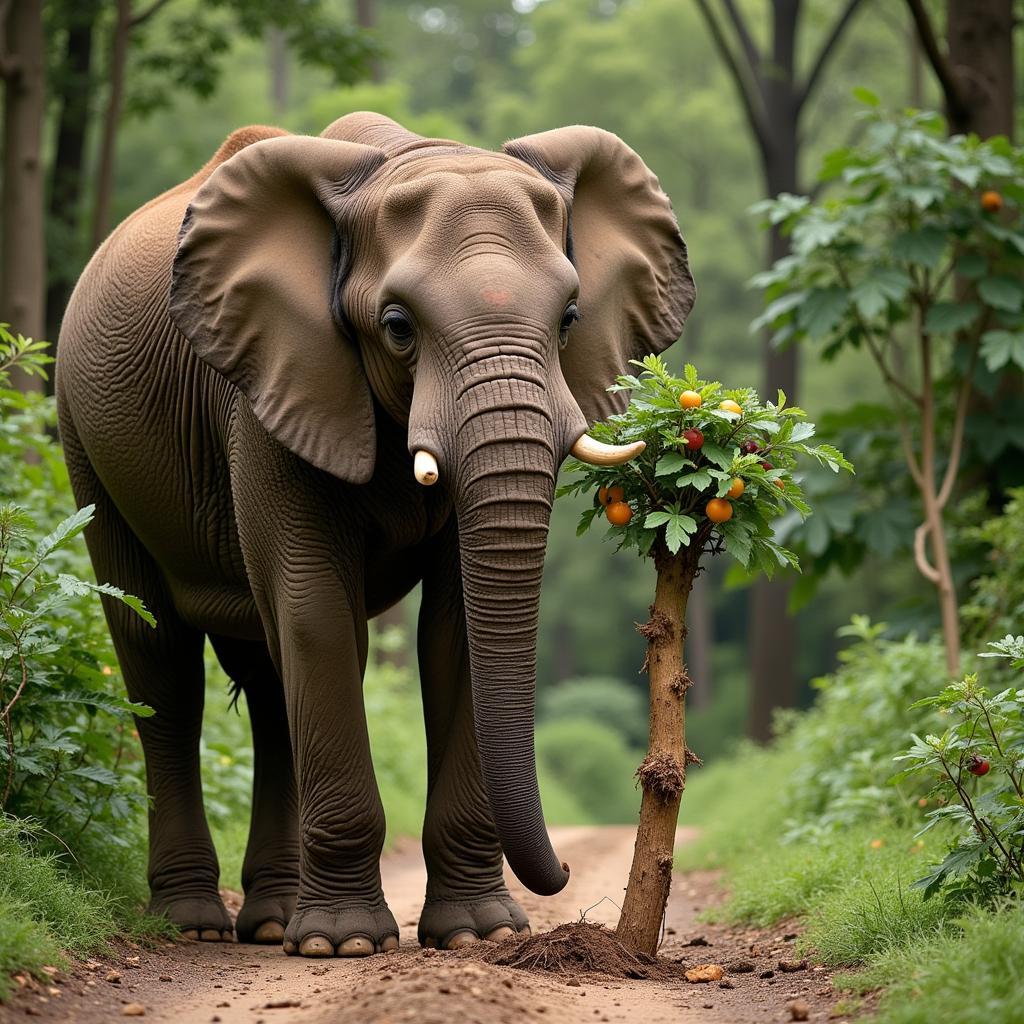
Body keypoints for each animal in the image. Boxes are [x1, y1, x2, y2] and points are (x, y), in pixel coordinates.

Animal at [56, 114, 696, 958]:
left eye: (568, 321)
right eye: (397, 329)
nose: (563, 874)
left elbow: (453, 630)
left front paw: (477, 934)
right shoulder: (272, 389)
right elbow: (318, 616)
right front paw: (345, 944)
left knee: (267, 681)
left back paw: (270, 921)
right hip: (83, 440)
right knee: (162, 662)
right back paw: (194, 923)